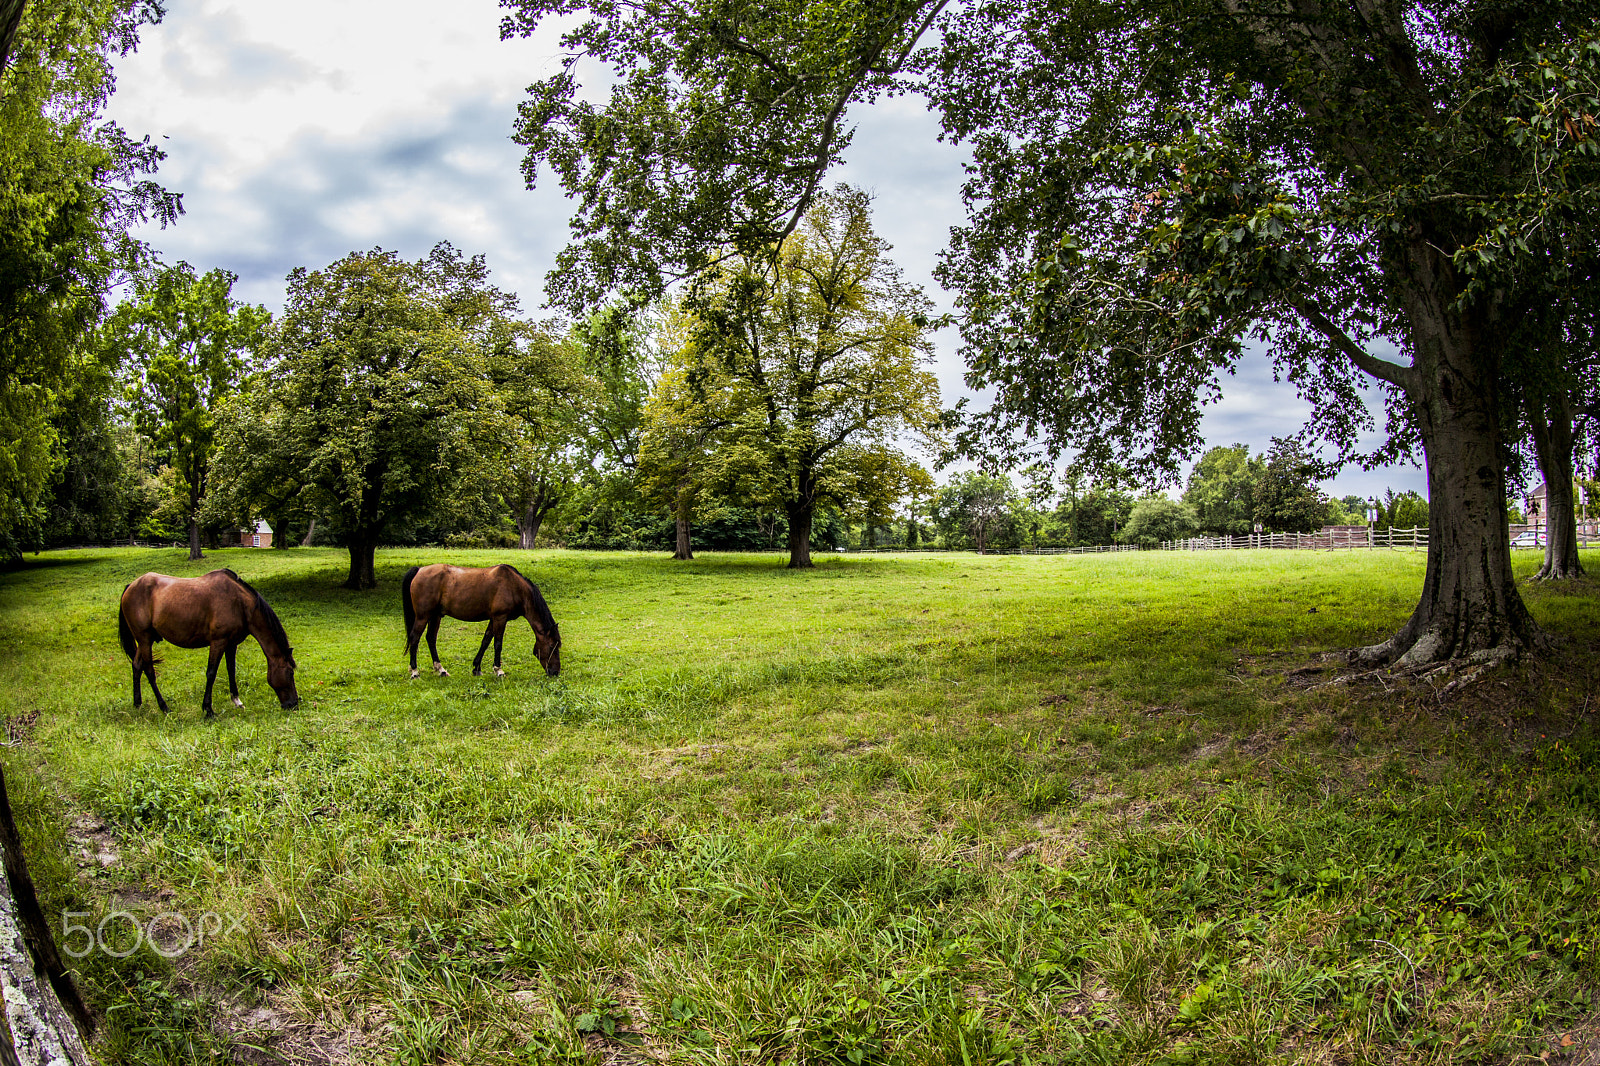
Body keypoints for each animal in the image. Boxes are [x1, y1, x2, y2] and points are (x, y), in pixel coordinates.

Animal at [118, 569, 300, 719]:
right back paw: (164, 707)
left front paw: (237, 701)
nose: (294, 704)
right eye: (290, 672)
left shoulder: (231, 644)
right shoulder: (218, 642)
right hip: (144, 639)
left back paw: (137, 703)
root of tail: (130, 586)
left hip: (143, 641)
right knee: (149, 670)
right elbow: (211, 673)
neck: (239, 603)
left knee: (137, 665)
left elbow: (231, 670)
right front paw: (208, 710)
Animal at [401, 563, 561, 679]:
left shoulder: (494, 618)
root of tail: (419, 570)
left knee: (431, 639)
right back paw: (415, 671)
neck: (514, 587)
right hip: (423, 616)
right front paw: (499, 670)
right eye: (552, 645)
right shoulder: (500, 618)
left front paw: (477, 668)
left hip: (435, 616)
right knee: (414, 638)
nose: (555, 672)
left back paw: (441, 670)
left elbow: (486, 641)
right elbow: (497, 644)